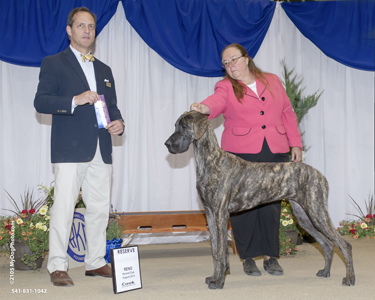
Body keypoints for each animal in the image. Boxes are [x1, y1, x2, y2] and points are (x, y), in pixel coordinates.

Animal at [166, 111, 356, 290]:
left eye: (184, 126)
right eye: (175, 125)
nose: (167, 144)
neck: (210, 161)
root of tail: (320, 175)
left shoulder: (220, 214)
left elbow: (220, 251)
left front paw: (219, 282)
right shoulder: (210, 214)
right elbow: (215, 251)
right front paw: (213, 278)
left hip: (317, 212)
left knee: (344, 244)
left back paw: (349, 279)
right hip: (304, 216)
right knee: (327, 244)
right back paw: (325, 272)